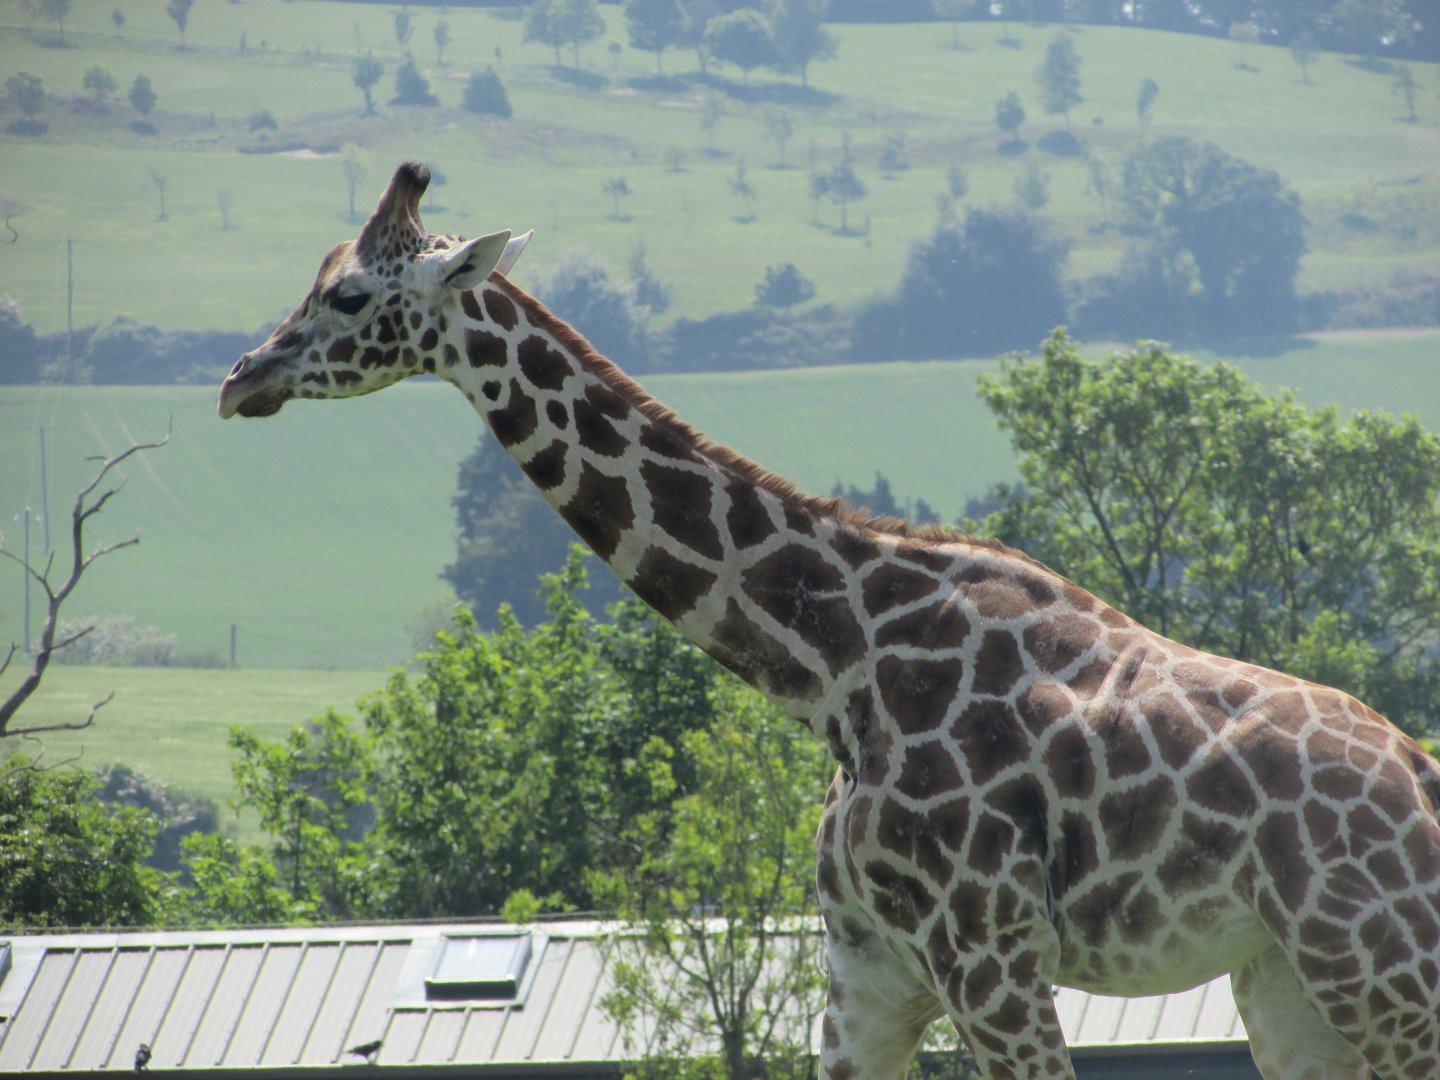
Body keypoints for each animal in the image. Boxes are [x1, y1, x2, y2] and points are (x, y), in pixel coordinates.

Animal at [218, 162, 1440, 1080]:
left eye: (348, 297)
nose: (239, 379)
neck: (833, 669)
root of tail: (1423, 777)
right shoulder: (867, 968)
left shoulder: (990, 955)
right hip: (1288, 985)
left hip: (1380, 973)